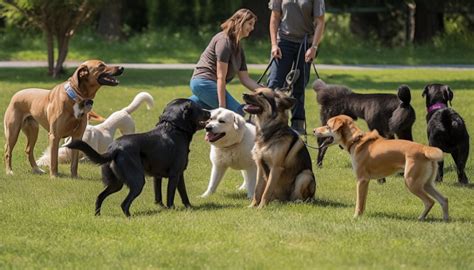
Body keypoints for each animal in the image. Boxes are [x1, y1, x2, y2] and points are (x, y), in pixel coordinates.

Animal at [65, 99, 210, 217]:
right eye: (199, 108)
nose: (209, 112)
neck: (173, 128)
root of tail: (114, 149)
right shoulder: (176, 174)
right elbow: (175, 195)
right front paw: (174, 209)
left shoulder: (159, 176)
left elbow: (161, 196)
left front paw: (166, 208)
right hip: (138, 181)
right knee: (124, 204)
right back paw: (130, 217)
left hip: (116, 183)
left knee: (100, 197)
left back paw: (98, 216)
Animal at [312, 115, 450, 220]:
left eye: (327, 125)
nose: (313, 130)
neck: (356, 140)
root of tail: (424, 148)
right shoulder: (365, 182)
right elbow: (363, 201)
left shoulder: (361, 180)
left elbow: (359, 202)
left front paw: (356, 217)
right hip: (426, 183)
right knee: (444, 199)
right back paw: (445, 219)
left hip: (412, 182)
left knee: (430, 201)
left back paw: (421, 218)